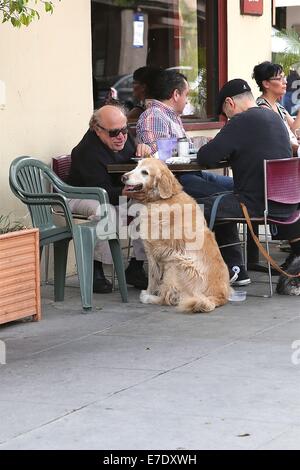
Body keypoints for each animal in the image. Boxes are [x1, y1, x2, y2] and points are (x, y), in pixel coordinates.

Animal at [122, 159, 230, 312]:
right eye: (136, 166)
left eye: (145, 172)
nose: (123, 177)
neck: (162, 198)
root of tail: (219, 296)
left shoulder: (152, 251)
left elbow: (153, 279)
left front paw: (149, 292)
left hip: (175, 262)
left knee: (167, 298)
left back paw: (147, 298)